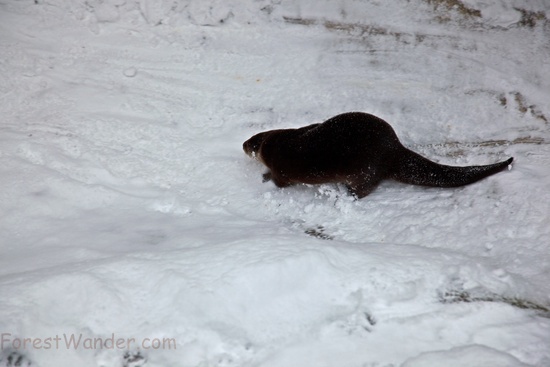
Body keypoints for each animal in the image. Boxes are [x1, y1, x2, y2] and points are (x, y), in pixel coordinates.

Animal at [244, 112, 516, 200]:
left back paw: (348, 193)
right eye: (254, 136)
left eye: (252, 144)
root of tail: (394, 150)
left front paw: (264, 178)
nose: (243, 144)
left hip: (365, 170)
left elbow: (279, 181)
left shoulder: (284, 170)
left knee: (364, 188)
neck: (282, 144)